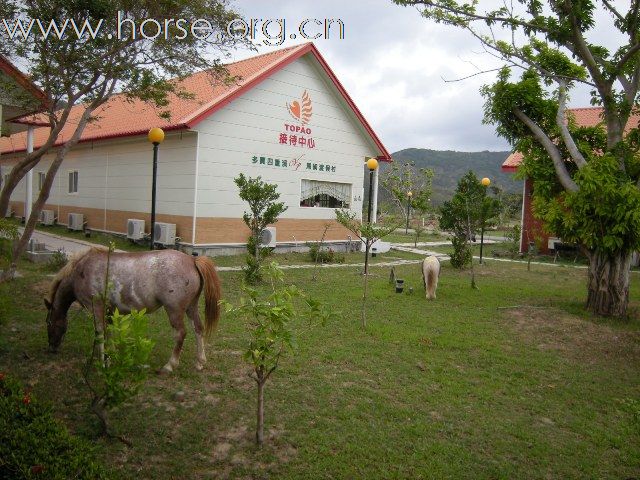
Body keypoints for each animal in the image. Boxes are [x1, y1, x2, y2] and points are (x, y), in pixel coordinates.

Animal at [43, 249, 221, 374]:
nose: (51, 347)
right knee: (198, 328)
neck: (81, 271)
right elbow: (109, 333)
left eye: (48, 323)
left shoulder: (97, 308)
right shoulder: (109, 312)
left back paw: (169, 366)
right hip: (191, 307)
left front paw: (103, 363)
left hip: (174, 310)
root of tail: (192, 260)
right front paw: (111, 356)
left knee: (180, 333)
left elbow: (100, 333)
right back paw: (199, 362)